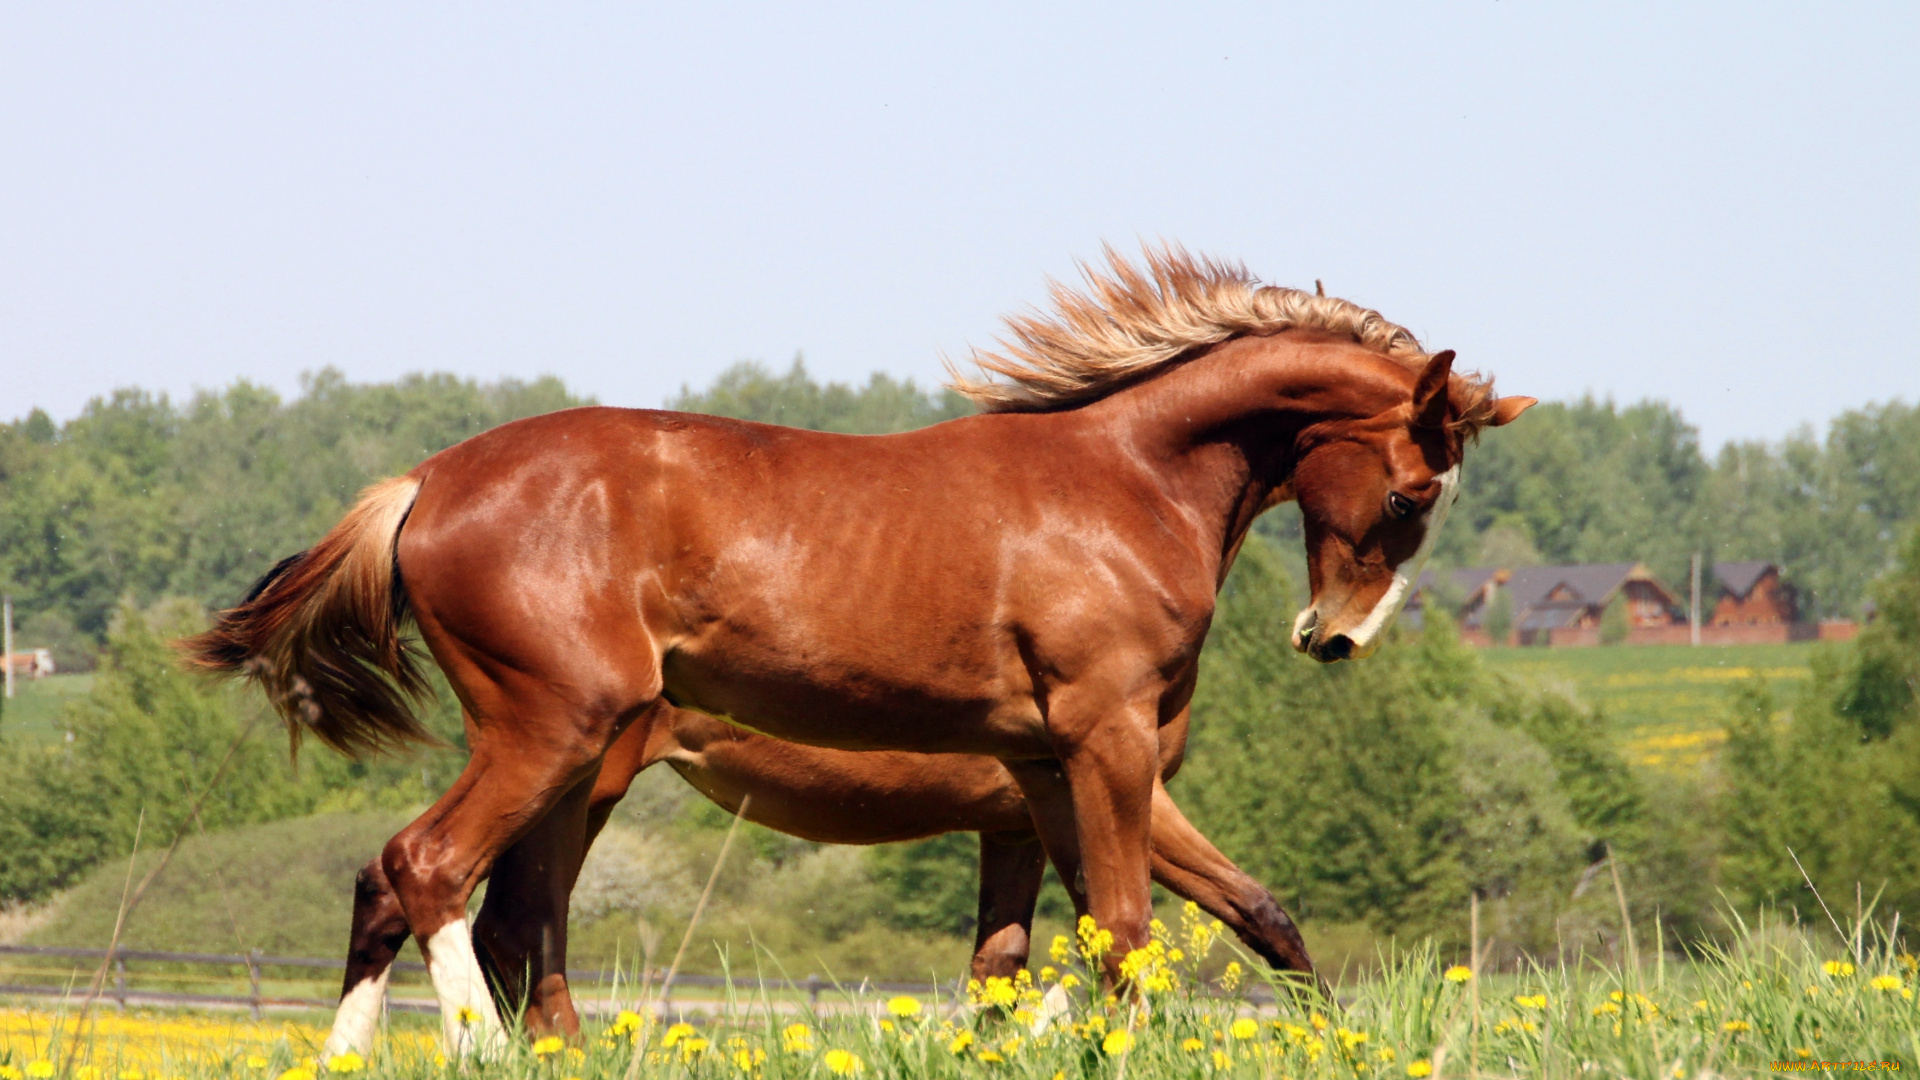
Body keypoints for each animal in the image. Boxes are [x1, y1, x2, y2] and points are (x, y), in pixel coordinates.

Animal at [322, 699, 1328, 1053]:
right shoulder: (1111, 800)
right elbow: (1242, 909)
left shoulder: (1016, 826)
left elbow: (1005, 966)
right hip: (574, 788)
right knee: (488, 913)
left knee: (455, 909)